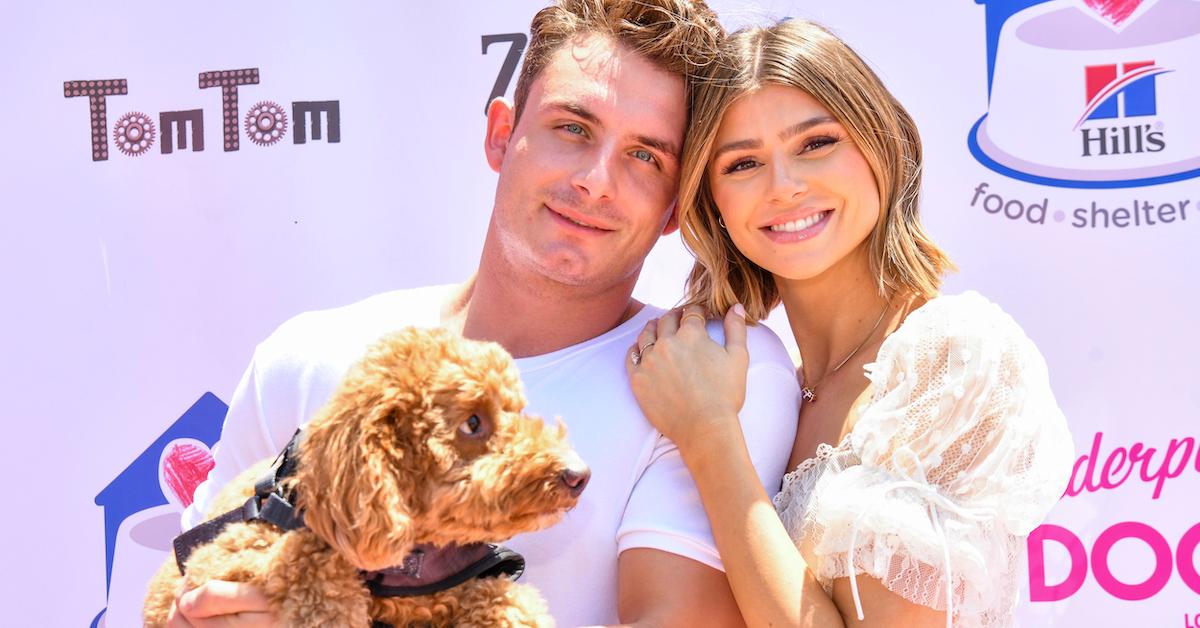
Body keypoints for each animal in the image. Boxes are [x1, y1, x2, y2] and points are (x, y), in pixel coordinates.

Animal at [141, 329, 590, 628]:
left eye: (517, 409)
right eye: (474, 422)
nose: (578, 475)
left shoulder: (460, 586)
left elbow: (506, 601)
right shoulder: (219, 562)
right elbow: (315, 575)